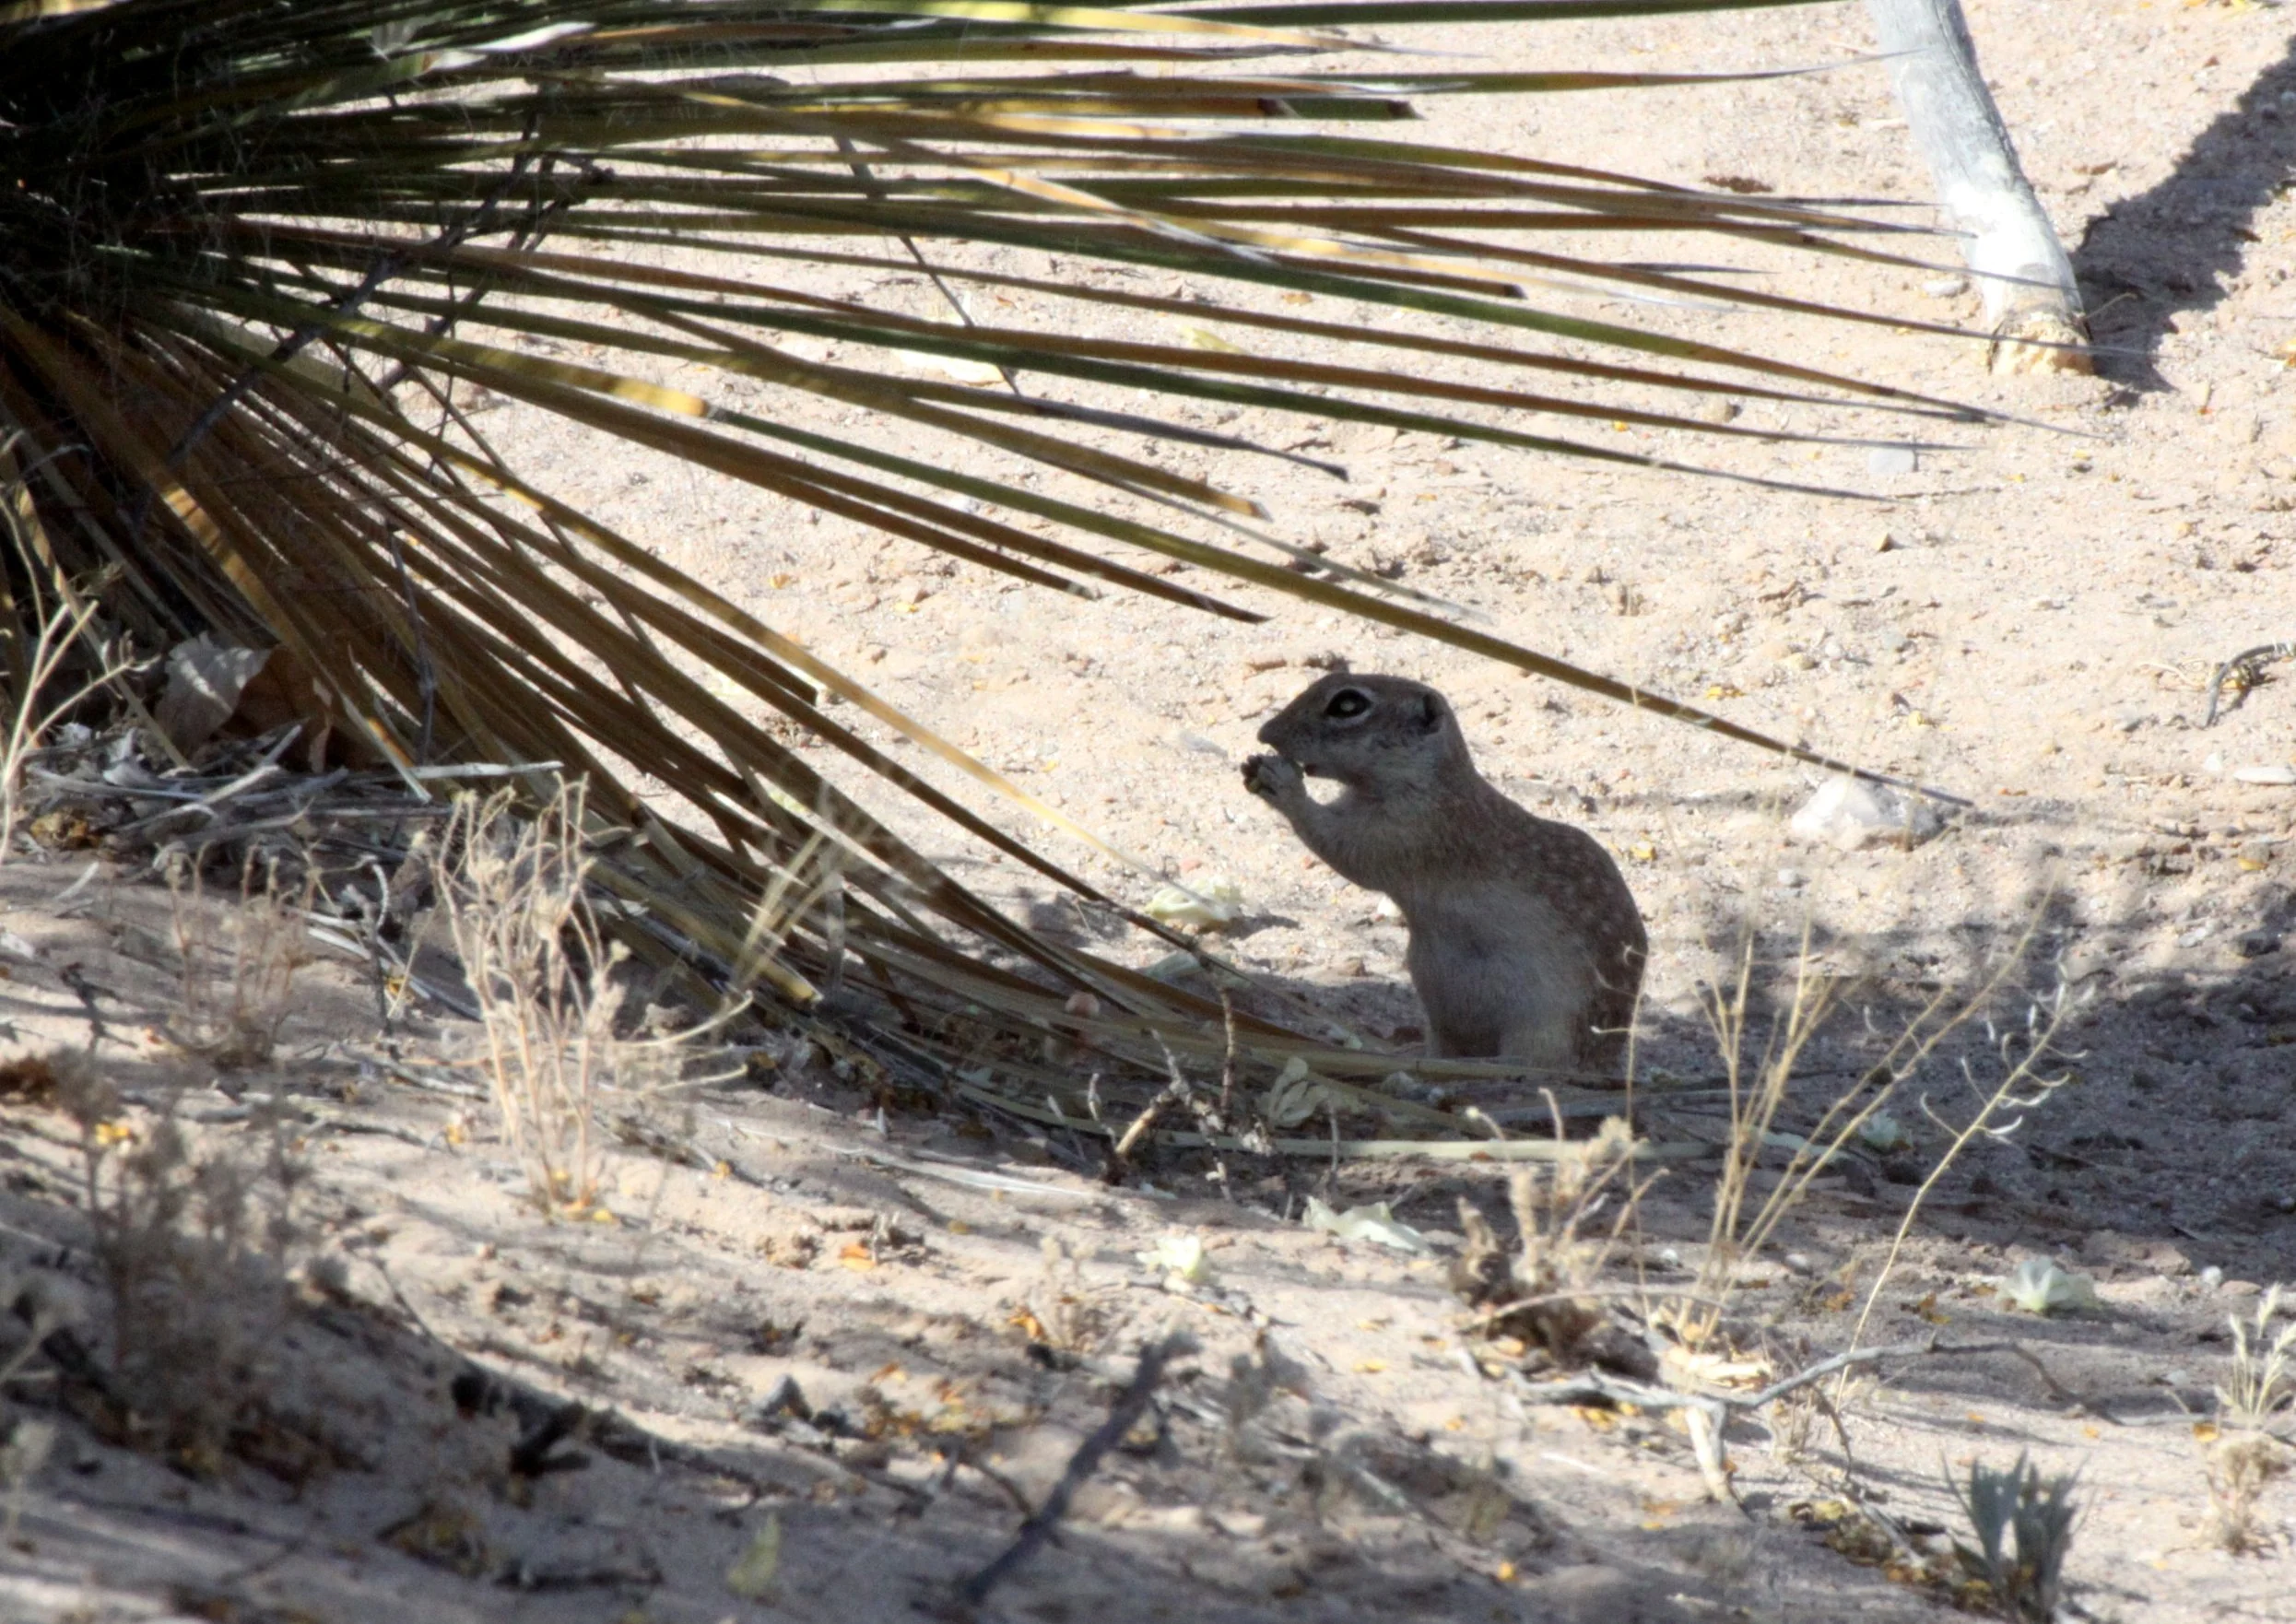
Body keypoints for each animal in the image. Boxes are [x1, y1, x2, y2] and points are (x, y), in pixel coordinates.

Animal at [1242, 673, 1646, 1078]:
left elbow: (1345, 849)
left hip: (1548, 1027)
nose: (1265, 733)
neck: (1435, 781)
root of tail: (1602, 1064)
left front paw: (1282, 782)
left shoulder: (1412, 831)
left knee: (1536, 1063)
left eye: (1348, 705)